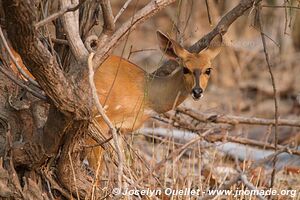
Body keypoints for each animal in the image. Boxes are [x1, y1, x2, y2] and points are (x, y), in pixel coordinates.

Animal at [88, 31, 221, 170]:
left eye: (208, 70)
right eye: (185, 69)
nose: (197, 92)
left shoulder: (119, 129)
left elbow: (121, 162)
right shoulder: (99, 120)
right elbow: (97, 166)